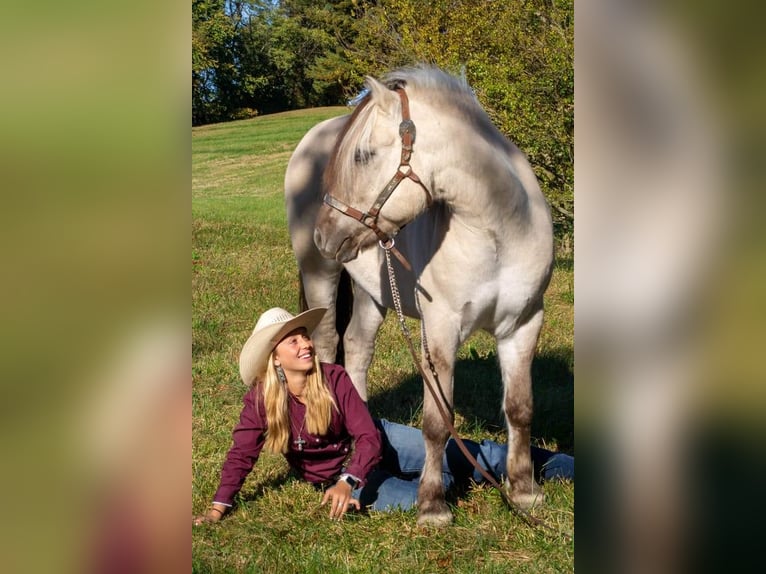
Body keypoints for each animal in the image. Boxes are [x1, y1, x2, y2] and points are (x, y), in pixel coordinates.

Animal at [286, 66, 552, 528]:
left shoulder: (523, 324)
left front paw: (524, 491)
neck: (500, 231)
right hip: (321, 274)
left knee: (357, 348)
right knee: (327, 344)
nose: (323, 234)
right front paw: (432, 506)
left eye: (362, 156)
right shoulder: (440, 332)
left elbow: (520, 407)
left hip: (371, 292)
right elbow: (437, 424)